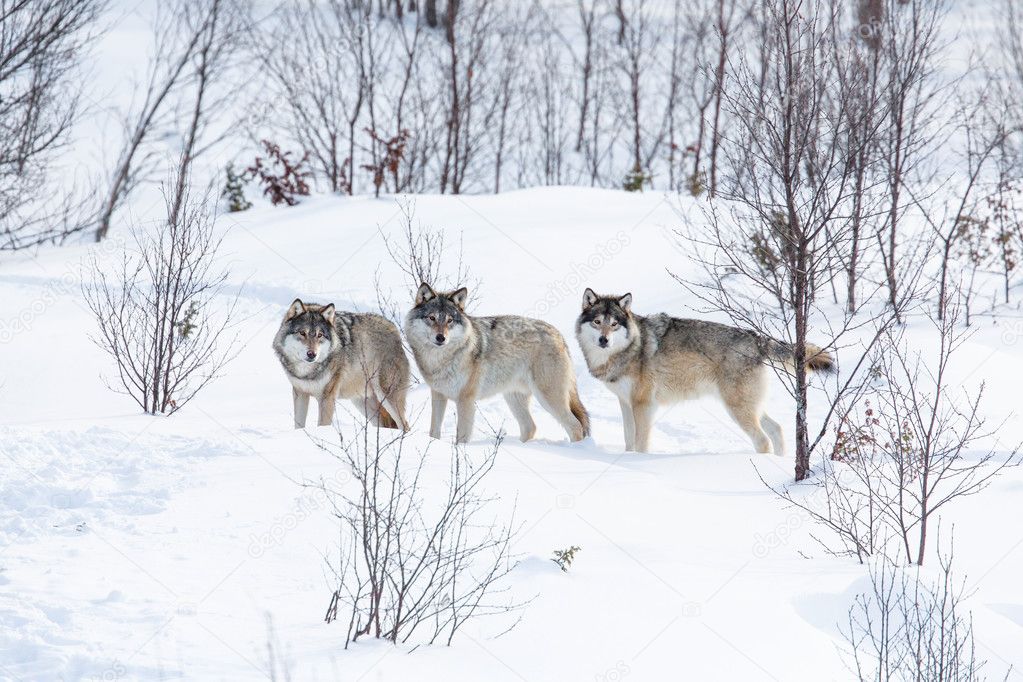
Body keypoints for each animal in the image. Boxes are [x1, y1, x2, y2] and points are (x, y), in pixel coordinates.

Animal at [278, 296, 413, 429]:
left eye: (319, 335)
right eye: (302, 333)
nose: (312, 354)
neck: (307, 372)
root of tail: (394, 329)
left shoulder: (327, 397)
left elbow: (323, 425)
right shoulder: (300, 393)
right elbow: (298, 425)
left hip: (386, 396)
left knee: (405, 425)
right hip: (364, 404)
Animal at [401, 282, 589, 443]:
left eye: (449, 320)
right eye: (432, 318)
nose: (441, 338)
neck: (440, 360)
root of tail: (558, 334)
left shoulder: (466, 400)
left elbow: (461, 437)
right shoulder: (438, 395)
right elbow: (434, 431)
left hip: (548, 398)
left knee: (575, 426)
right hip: (514, 398)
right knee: (531, 427)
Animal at [576, 288, 830, 453]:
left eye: (614, 324)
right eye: (597, 322)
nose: (603, 340)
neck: (629, 349)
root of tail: (757, 338)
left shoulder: (644, 405)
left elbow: (640, 443)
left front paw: (637, 461)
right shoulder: (626, 402)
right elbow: (628, 439)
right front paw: (627, 459)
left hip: (737, 409)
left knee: (763, 440)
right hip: (749, 406)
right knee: (776, 429)